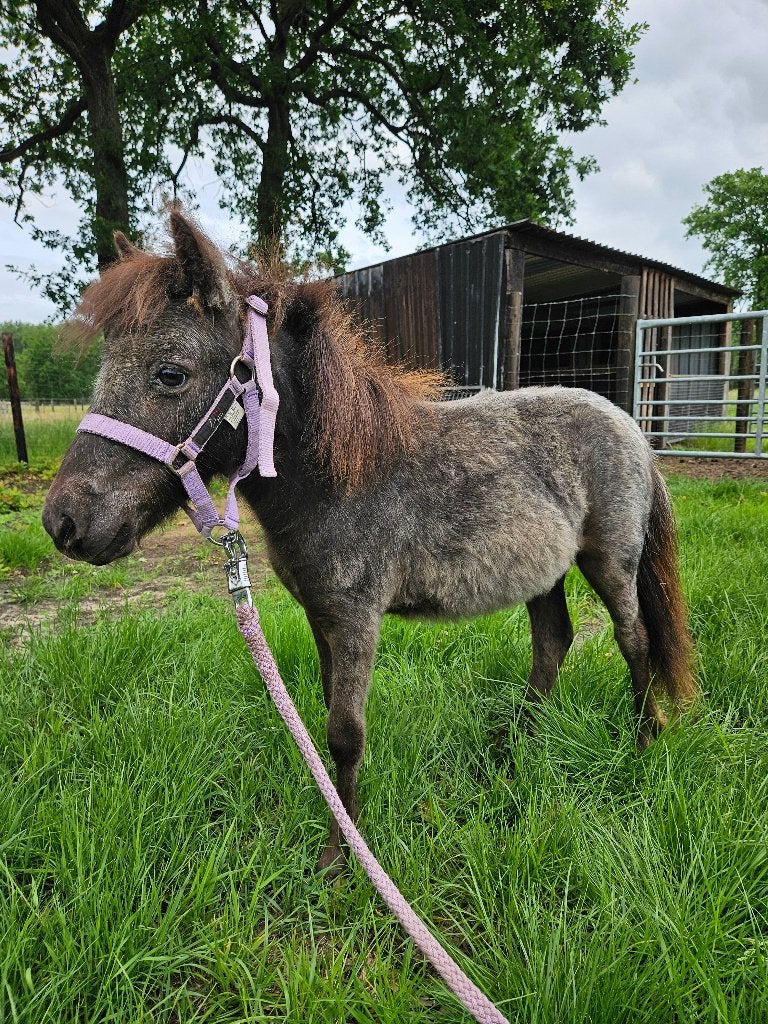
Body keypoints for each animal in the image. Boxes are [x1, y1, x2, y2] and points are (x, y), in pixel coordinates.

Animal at [43, 210, 697, 875]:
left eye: (169, 373)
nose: (63, 523)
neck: (340, 475)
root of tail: (632, 428)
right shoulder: (320, 615)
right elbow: (328, 712)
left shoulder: (356, 620)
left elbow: (345, 733)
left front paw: (341, 858)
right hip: (544, 570)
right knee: (552, 643)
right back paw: (514, 746)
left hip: (610, 560)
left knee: (633, 638)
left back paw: (642, 740)